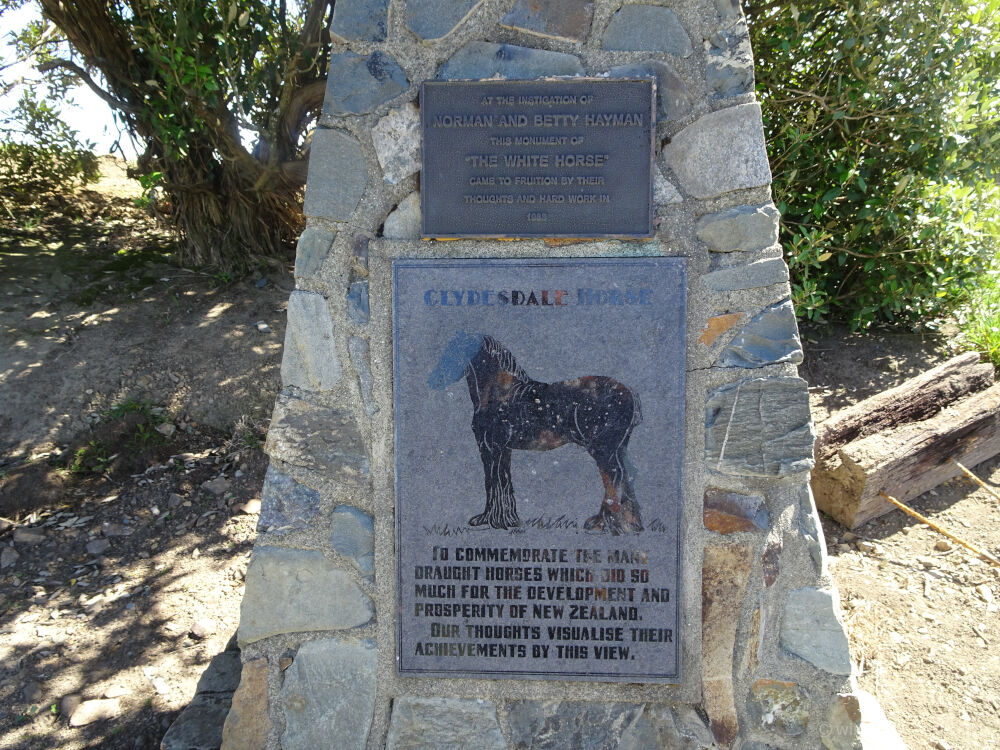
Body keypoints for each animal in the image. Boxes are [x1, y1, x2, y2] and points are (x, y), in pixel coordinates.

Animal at [426, 330, 644, 536]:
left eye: (459, 349)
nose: (434, 380)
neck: (500, 391)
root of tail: (628, 391)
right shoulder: (499, 450)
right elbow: (499, 482)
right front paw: (501, 519)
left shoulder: (493, 448)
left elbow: (495, 482)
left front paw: (497, 521)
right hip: (617, 449)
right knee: (626, 476)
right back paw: (629, 524)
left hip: (603, 450)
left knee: (613, 478)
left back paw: (605, 524)